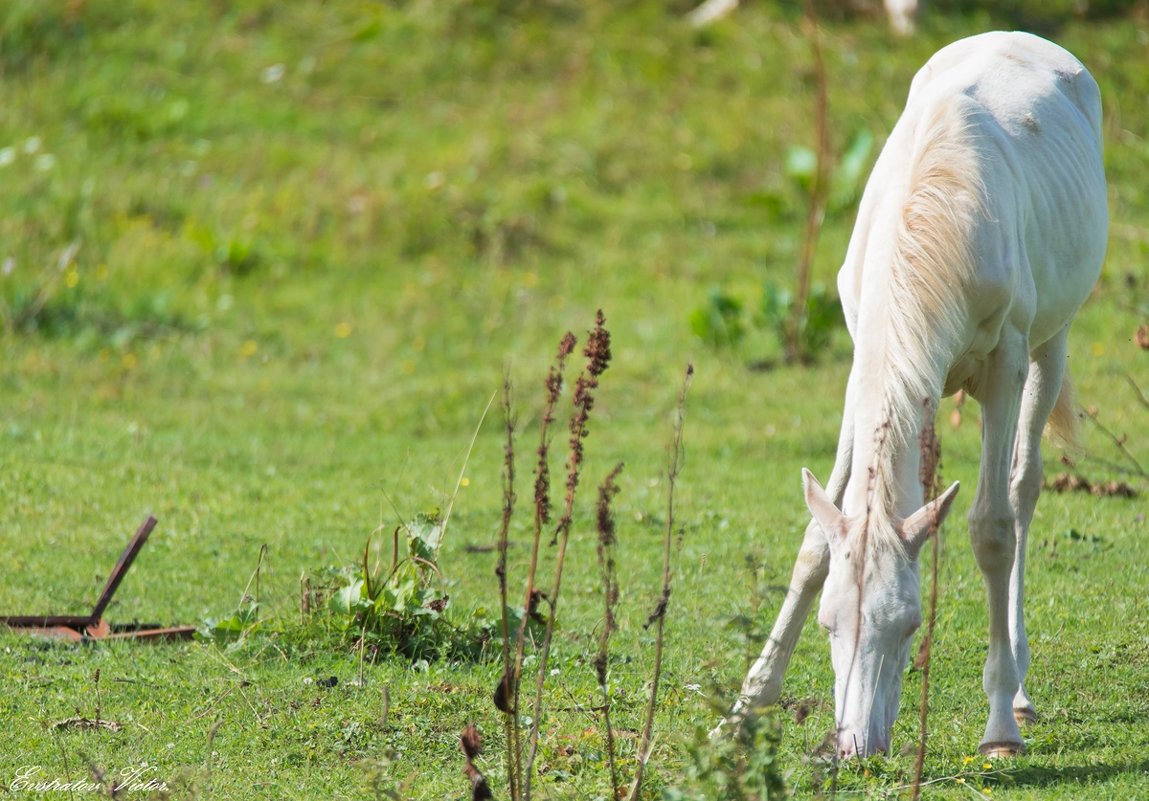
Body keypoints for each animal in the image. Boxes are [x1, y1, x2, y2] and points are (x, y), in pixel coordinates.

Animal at [721, 31, 1107, 753]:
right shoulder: (862, 364)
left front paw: (998, 727)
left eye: (907, 625)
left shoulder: (1005, 364)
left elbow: (991, 528)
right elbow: (817, 538)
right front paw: (747, 703)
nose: (856, 743)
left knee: (1023, 486)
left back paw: (1019, 690)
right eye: (828, 623)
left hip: (1054, 339)